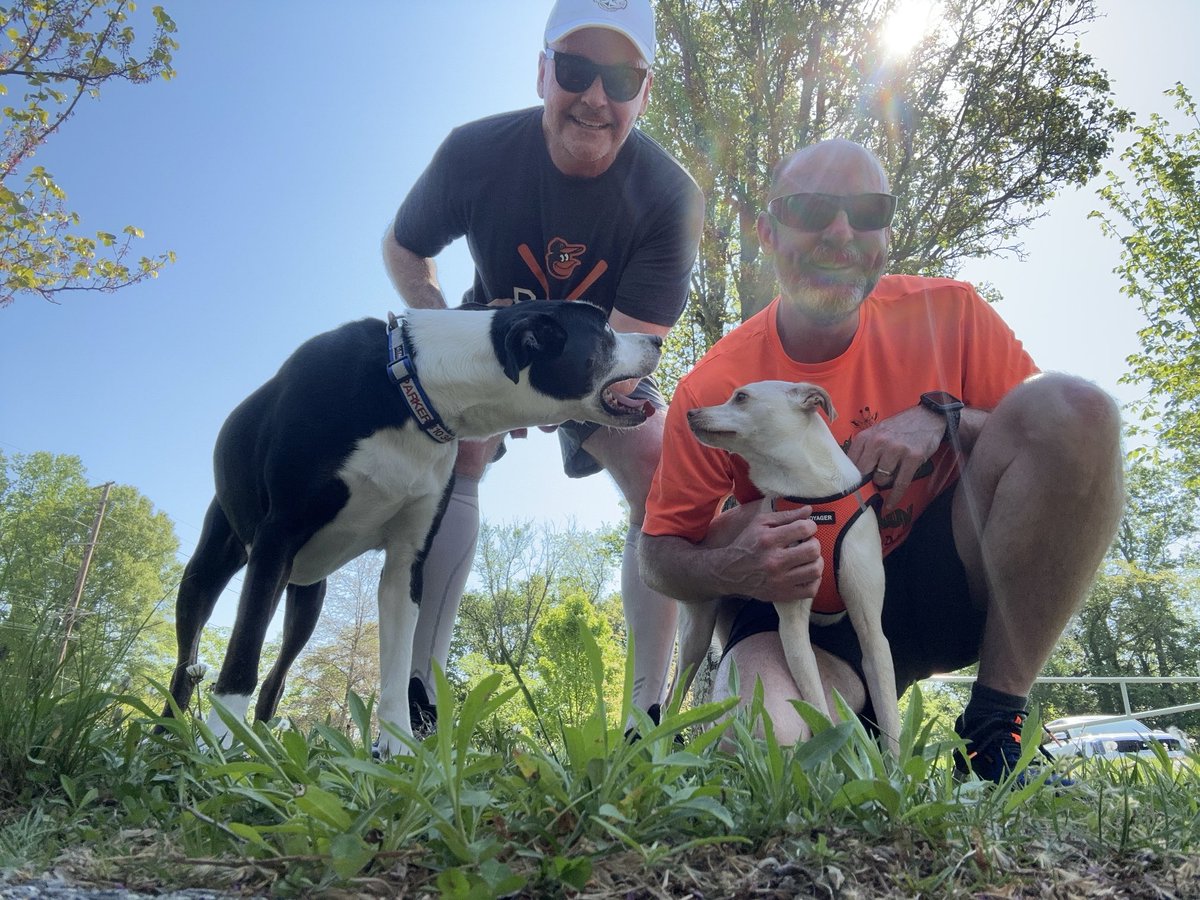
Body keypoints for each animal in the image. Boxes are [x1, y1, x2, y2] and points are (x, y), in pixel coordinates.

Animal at [164, 301, 662, 753]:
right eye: (602, 329)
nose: (656, 340)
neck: (412, 388)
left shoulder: (406, 563)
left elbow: (398, 664)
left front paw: (400, 747)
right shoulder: (276, 539)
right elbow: (243, 651)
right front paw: (221, 741)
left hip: (307, 597)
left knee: (278, 676)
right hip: (212, 570)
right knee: (188, 660)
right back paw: (171, 733)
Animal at [676, 381, 902, 753]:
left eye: (741, 397)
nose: (689, 413)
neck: (811, 497)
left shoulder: (872, 632)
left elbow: (889, 719)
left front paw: (894, 767)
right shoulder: (793, 627)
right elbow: (819, 708)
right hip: (694, 640)